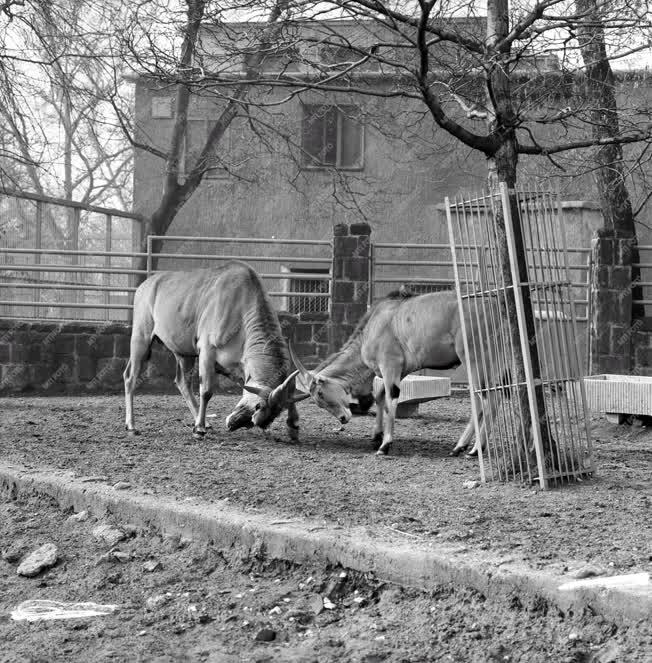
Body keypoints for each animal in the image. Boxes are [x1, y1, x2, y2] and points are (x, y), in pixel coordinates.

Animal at [124, 260, 308, 440]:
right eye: (257, 406)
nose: (232, 424)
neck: (242, 302)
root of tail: (145, 285)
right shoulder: (207, 351)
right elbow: (206, 391)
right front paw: (199, 429)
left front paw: (293, 425)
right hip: (141, 340)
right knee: (130, 378)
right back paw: (132, 426)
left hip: (184, 354)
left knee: (182, 382)